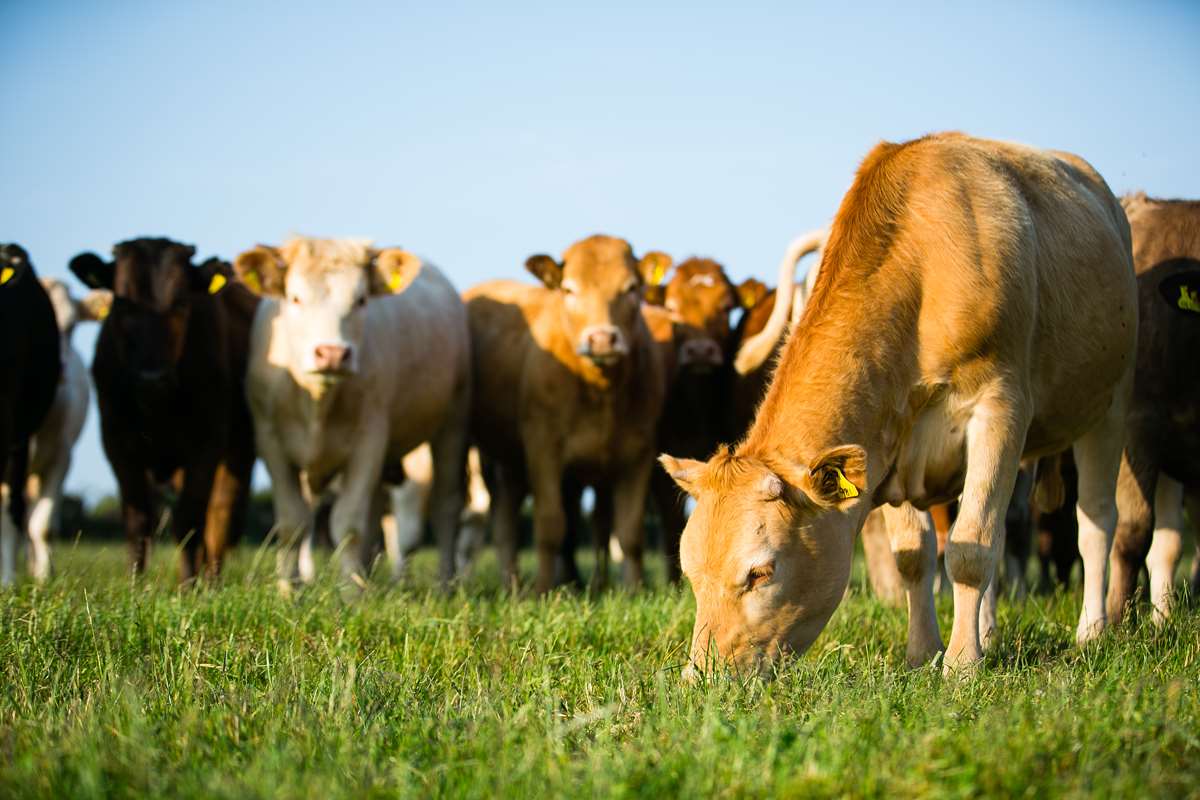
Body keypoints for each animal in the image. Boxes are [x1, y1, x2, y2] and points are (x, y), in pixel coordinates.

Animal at [70, 238, 258, 582]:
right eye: (122, 303)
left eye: (181, 303)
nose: (151, 378)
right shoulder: (117, 442)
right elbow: (137, 520)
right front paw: (136, 584)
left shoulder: (206, 444)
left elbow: (189, 517)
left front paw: (189, 586)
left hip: (238, 450)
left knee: (219, 515)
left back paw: (212, 580)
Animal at [232, 237, 471, 593]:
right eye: (295, 297)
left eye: (360, 300)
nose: (332, 354)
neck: (318, 401)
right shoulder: (270, 440)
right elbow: (293, 522)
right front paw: (289, 590)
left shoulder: (369, 441)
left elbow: (347, 524)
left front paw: (351, 595)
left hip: (452, 423)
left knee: (444, 508)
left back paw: (444, 585)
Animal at [466, 235, 668, 593]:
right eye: (569, 289)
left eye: (631, 288)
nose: (601, 339)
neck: (601, 392)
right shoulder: (543, 448)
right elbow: (550, 526)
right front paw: (544, 591)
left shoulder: (639, 455)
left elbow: (630, 534)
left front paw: (633, 591)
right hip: (489, 458)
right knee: (503, 527)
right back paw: (513, 588)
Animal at [661, 133, 1137, 676]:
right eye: (690, 572)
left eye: (761, 572)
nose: (703, 677)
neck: (923, 271)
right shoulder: (889, 439)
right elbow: (916, 553)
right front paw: (923, 652)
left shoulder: (1001, 407)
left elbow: (971, 548)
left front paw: (962, 665)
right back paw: (990, 632)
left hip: (1111, 402)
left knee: (1094, 520)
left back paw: (1092, 630)